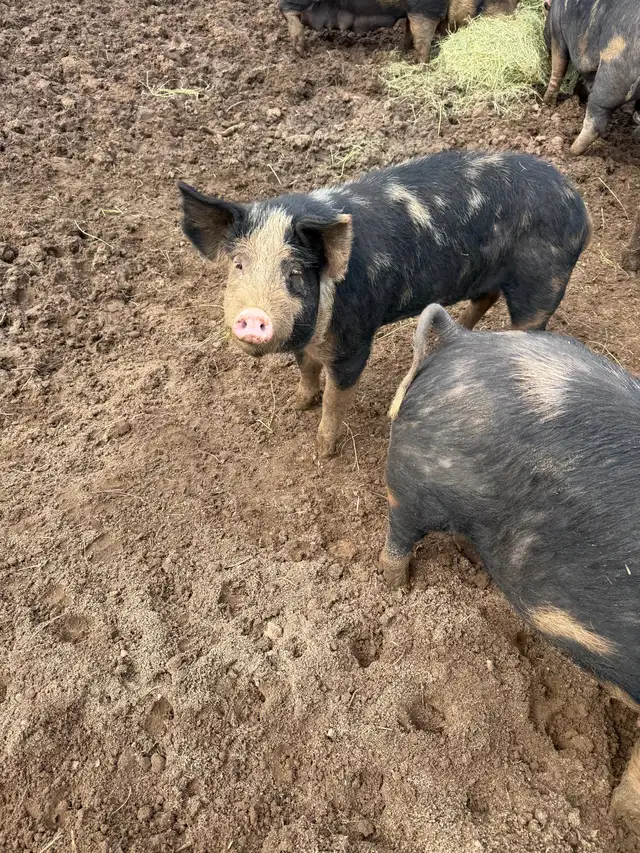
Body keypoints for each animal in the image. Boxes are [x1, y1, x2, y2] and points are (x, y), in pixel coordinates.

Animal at [178, 149, 590, 458]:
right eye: (238, 265)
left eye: (294, 272)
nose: (252, 315)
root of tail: (579, 208)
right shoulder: (305, 335)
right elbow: (307, 369)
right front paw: (297, 404)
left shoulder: (356, 338)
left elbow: (336, 398)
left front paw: (322, 451)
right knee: (485, 297)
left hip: (543, 282)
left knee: (529, 322)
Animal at [280, 0, 519, 62]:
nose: (511, 21)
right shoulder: (426, 8)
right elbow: (423, 37)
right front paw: (424, 65)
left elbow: (410, 32)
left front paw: (401, 52)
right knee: (287, 10)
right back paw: (301, 50)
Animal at [543, 0, 640, 155]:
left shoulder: (557, 34)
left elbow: (558, 68)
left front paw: (546, 103)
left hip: (614, 72)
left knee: (596, 119)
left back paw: (571, 151)